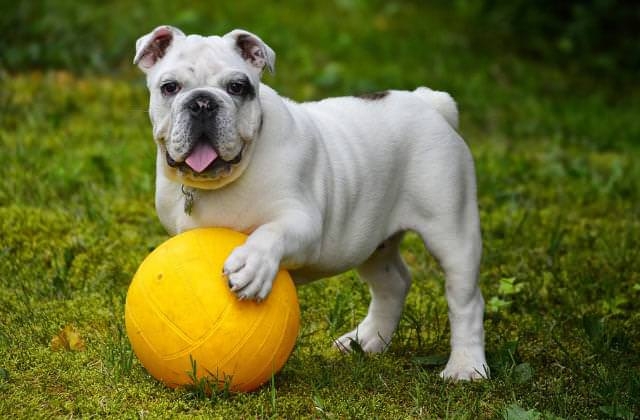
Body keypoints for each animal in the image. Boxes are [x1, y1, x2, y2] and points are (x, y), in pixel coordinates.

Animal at [134, 26, 484, 380]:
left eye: (237, 87)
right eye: (170, 87)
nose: (203, 102)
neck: (222, 180)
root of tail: (428, 102)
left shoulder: (303, 223)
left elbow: (270, 232)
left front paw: (252, 265)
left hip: (451, 230)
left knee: (465, 300)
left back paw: (466, 366)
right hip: (371, 241)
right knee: (392, 283)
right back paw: (366, 340)